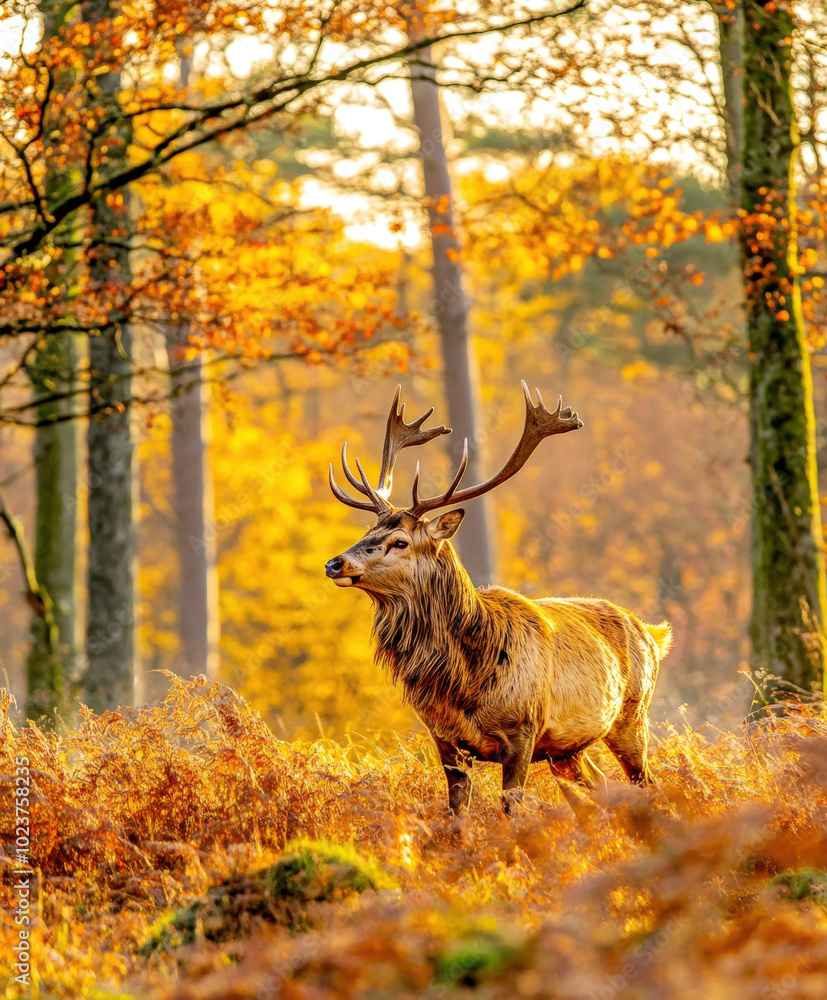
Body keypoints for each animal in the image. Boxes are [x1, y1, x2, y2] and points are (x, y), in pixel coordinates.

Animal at [325, 383, 671, 814]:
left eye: (400, 541)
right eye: (367, 532)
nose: (335, 563)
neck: (464, 681)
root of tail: (652, 634)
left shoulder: (523, 732)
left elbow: (512, 812)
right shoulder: (444, 739)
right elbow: (456, 814)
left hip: (631, 717)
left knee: (647, 784)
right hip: (567, 748)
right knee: (598, 786)